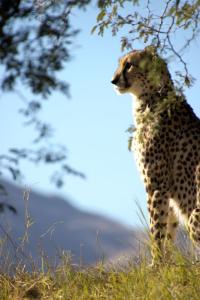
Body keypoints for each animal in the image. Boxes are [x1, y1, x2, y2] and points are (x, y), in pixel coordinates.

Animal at [111, 45, 200, 264]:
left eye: (129, 65)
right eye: (119, 63)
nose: (113, 80)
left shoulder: (156, 185)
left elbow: (156, 229)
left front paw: (155, 264)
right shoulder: (168, 190)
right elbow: (168, 230)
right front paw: (166, 265)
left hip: (195, 216)